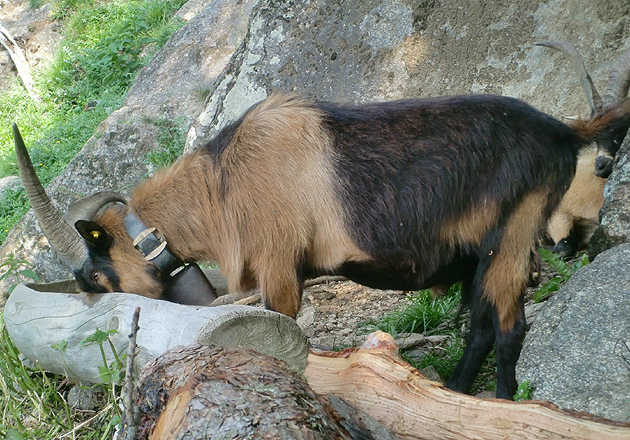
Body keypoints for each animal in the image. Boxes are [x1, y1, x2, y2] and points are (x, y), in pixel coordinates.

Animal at [12, 87, 630, 400]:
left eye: (94, 278)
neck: (223, 182)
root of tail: (563, 132)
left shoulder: (279, 269)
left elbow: (283, 337)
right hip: (484, 252)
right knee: (480, 325)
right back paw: (453, 388)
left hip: (513, 233)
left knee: (507, 328)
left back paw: (497, 401)